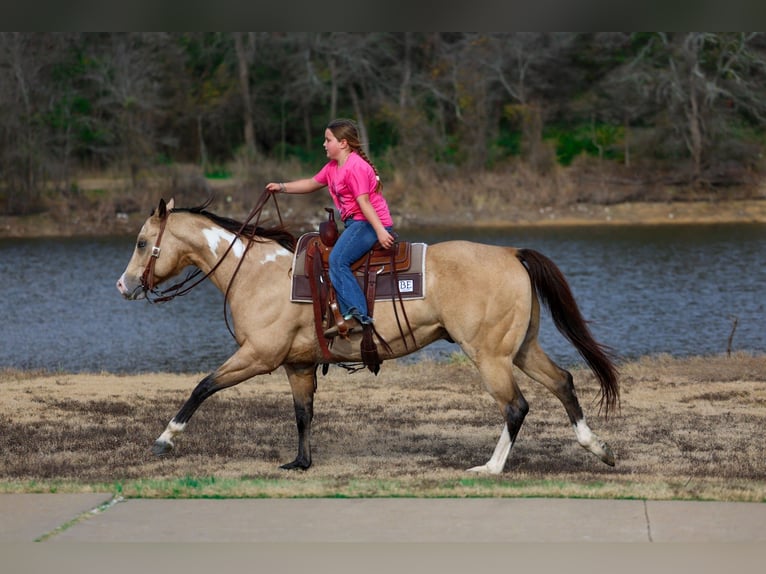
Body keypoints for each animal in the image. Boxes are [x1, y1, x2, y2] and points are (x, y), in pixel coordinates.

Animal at [116, 197, 619, 474]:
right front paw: (300, 463)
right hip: (521, 348)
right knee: (563, 383)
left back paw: (490, 468)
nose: (124, 286)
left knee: (516, 406)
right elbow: (303, 414)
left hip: (490, 356)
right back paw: (597, 448)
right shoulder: (297, 364)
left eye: (141, 242)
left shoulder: (258, 355)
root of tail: (513, 253)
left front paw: (166, 438)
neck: (258, 273)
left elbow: (203, 386)